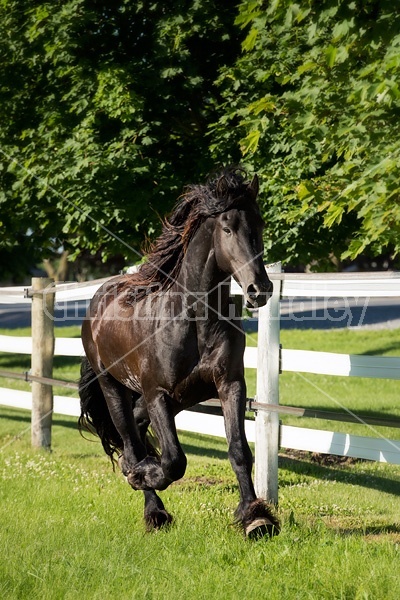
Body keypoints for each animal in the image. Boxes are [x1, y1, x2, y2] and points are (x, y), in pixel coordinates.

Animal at [77, 169, 278, 540]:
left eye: (258, 224)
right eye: (227, 228)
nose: (260, 289)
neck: (194, 321)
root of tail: (100, 297)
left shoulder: (229, 385)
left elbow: (239, 450)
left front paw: (256, 519)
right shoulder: (157, 393)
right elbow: (173, 460)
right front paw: (144, 476)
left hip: (180, 397)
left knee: (137, 431)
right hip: (114, 387)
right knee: (130, 444)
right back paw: (152, 508)